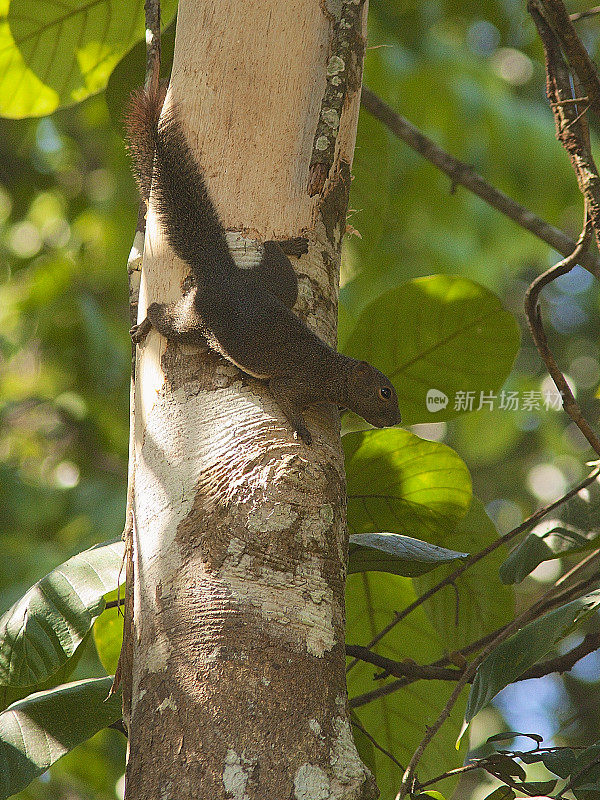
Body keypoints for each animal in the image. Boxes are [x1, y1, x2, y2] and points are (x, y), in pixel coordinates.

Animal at [124, 90, 400, 446]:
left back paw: (288, 246)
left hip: (277, 287)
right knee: (164, 315)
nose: (397, 420)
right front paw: (301, 429)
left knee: (273, 257)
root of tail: (224, 273)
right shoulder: (294, 383)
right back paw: (145, 325)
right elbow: (284, 397)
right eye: (384, 392)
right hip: (196, 319)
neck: (332, 371)